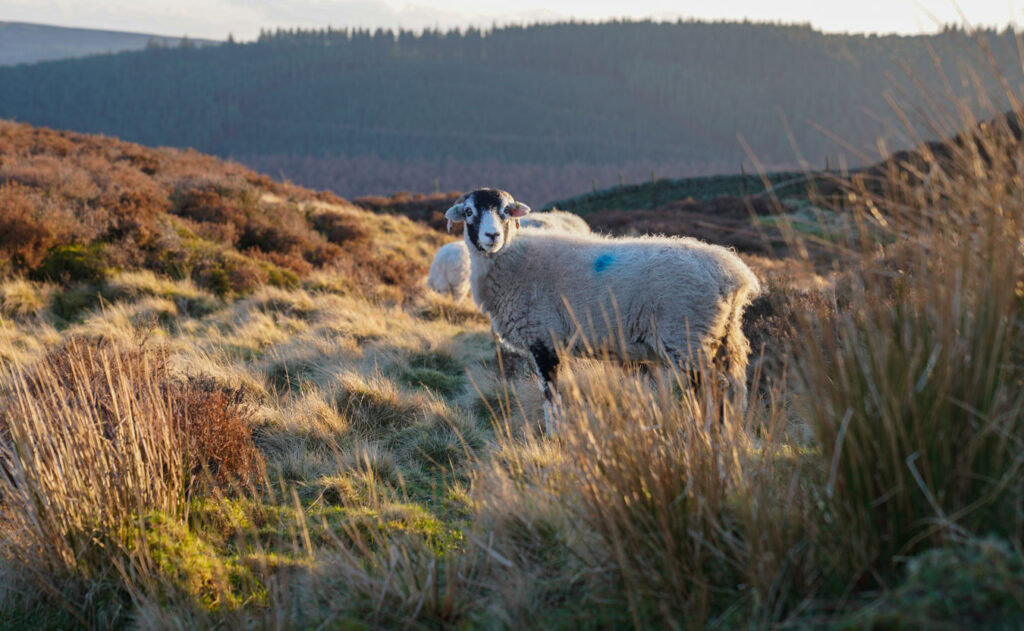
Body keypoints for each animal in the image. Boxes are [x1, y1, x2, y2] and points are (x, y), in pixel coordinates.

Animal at [445, 187, 761, 432]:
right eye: (469, 211)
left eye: (506, 211)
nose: (492, 236)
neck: (513, 257)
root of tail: (733, 275)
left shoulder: (544, 339)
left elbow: (550, 399)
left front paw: (555, 438)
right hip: (721, 336)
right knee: (731, 386)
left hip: (686, 335)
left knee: (714, 385)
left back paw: (708, 435)